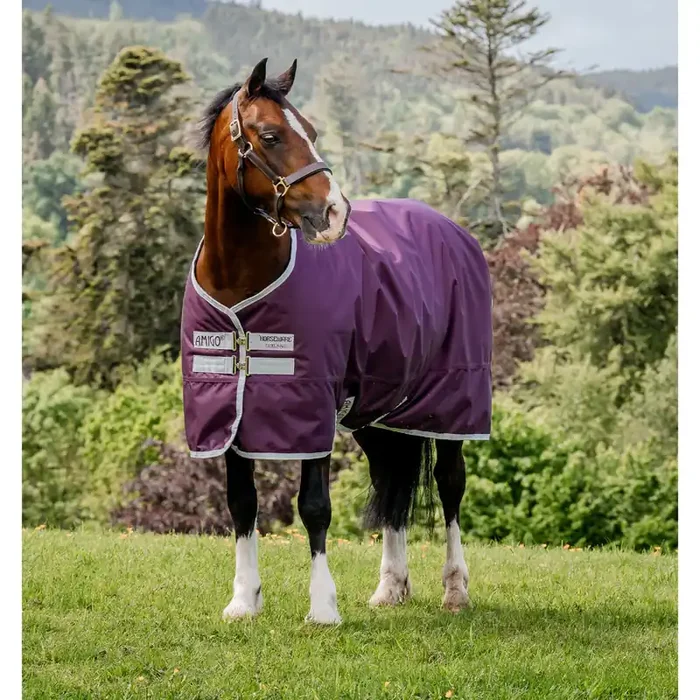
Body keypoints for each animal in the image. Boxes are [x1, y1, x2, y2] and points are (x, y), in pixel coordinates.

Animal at [182, 57, 492, 624]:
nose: (335, 213)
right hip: (378, 412)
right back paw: (390, 587)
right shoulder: (230, 412)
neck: (241, 285)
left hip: (454, 405)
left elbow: (314, 507)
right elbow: (242, 504)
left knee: (451, 486)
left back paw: (455, 589)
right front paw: (243, 600)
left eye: (312, 130)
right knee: (392, 483)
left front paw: (323, 607)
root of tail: (455, 232)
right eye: (270, 134)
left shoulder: (312, 406)